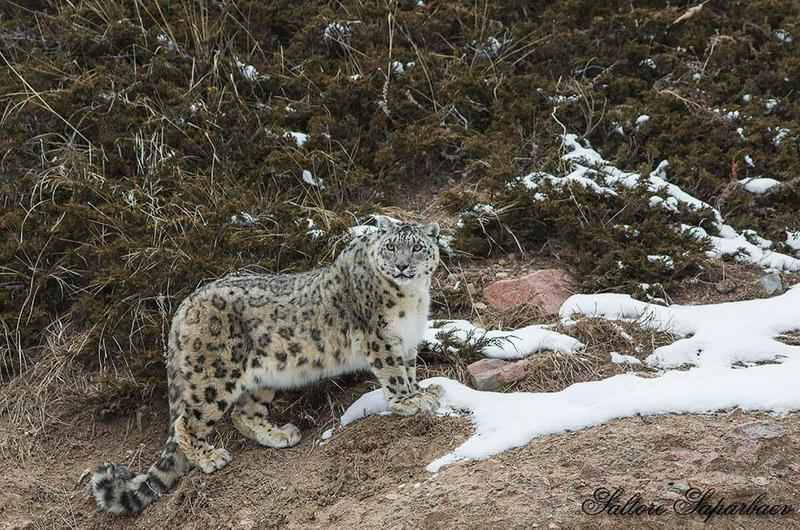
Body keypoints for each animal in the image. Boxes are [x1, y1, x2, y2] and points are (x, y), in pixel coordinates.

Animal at [94, 214, 446, 512]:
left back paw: (279, 434)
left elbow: (409, 369)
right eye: (390, 247)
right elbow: (394, 372)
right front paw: (409, 401)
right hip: (214, 377)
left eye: (417, 247)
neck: (414, 297)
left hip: (262, 377)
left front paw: (425, 392)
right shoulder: (382, 338)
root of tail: (183, 307)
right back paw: (211, 458)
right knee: (187, 421)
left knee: (242, 413)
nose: (401, 265)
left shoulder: (407, 340)